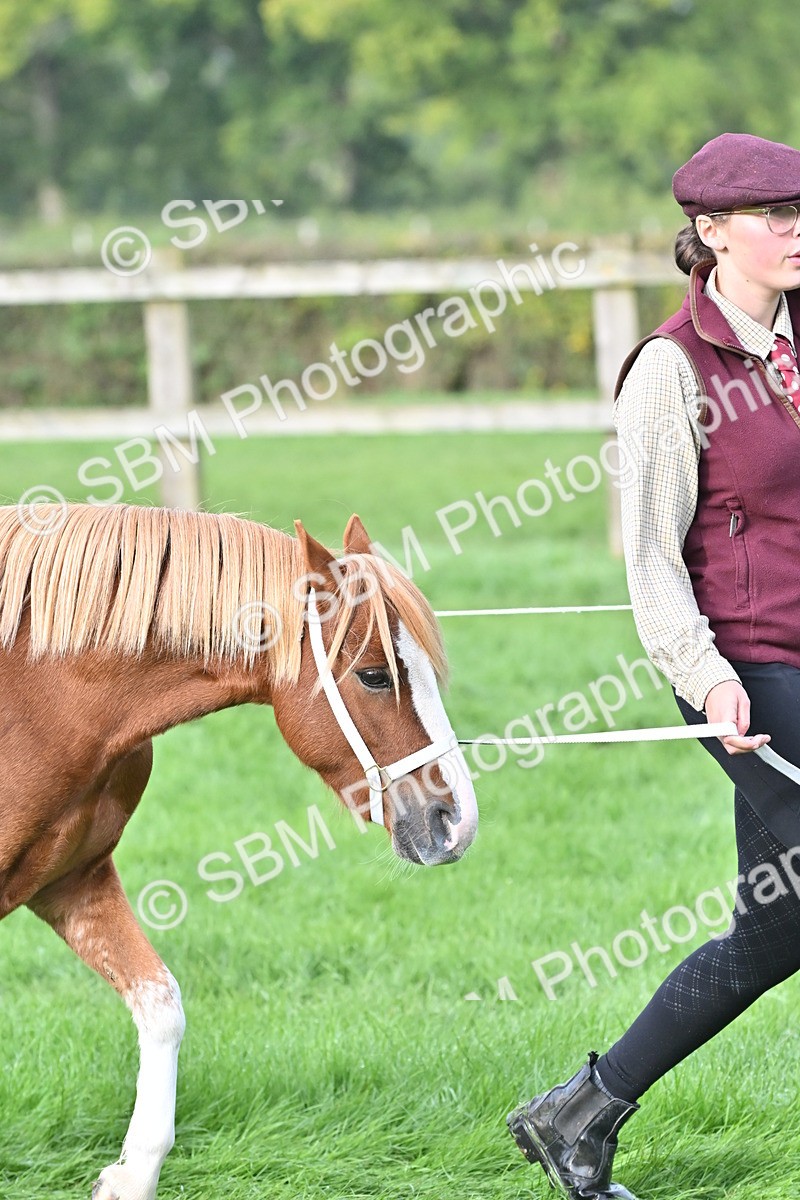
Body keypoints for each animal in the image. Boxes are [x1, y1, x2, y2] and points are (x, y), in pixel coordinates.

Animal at [0, 502, 478, 1200]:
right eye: (373, 674)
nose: (457, 821)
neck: (36, 696)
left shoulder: (72, 881)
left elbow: (161, 1005)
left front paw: (132, 1172)